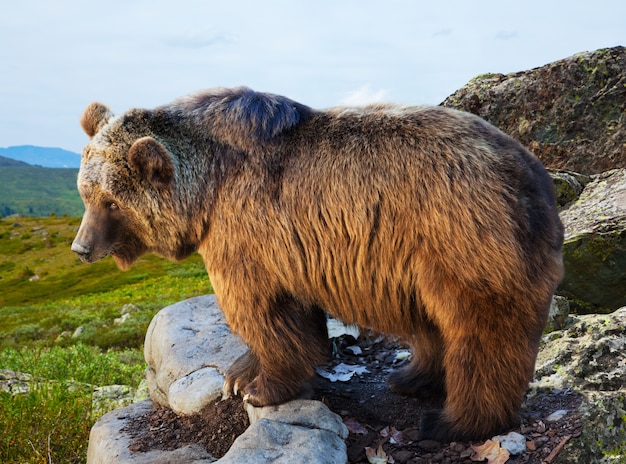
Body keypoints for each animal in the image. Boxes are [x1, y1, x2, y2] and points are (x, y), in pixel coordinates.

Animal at [72, 87, 560, 442]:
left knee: (481, 332)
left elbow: (262, 311)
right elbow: (286, 314)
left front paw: (261, 388)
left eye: (112, 202)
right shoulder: (288, 248)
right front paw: (238, 375)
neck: (207, 187)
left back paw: (453, 422)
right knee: (434, 324)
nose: (80, 248)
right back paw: (410, 377)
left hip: (461, 237)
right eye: (86, 192)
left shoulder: (246, 233)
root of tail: (536, 177)